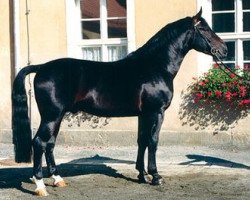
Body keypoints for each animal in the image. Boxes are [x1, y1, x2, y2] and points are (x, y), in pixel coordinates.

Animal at [12, 9, 227, 195]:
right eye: (204, 28)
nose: (224, 49)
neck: (155, 66)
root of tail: (42, 67)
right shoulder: (156, 112)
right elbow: (153, 141)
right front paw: (156, 176)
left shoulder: (143, 114)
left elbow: (142, 141)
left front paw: (141, 175)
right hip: (52, 116)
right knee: (39, 142)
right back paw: (40, 186)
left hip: (57, 116)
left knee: (49, 144)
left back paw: (57, 179)